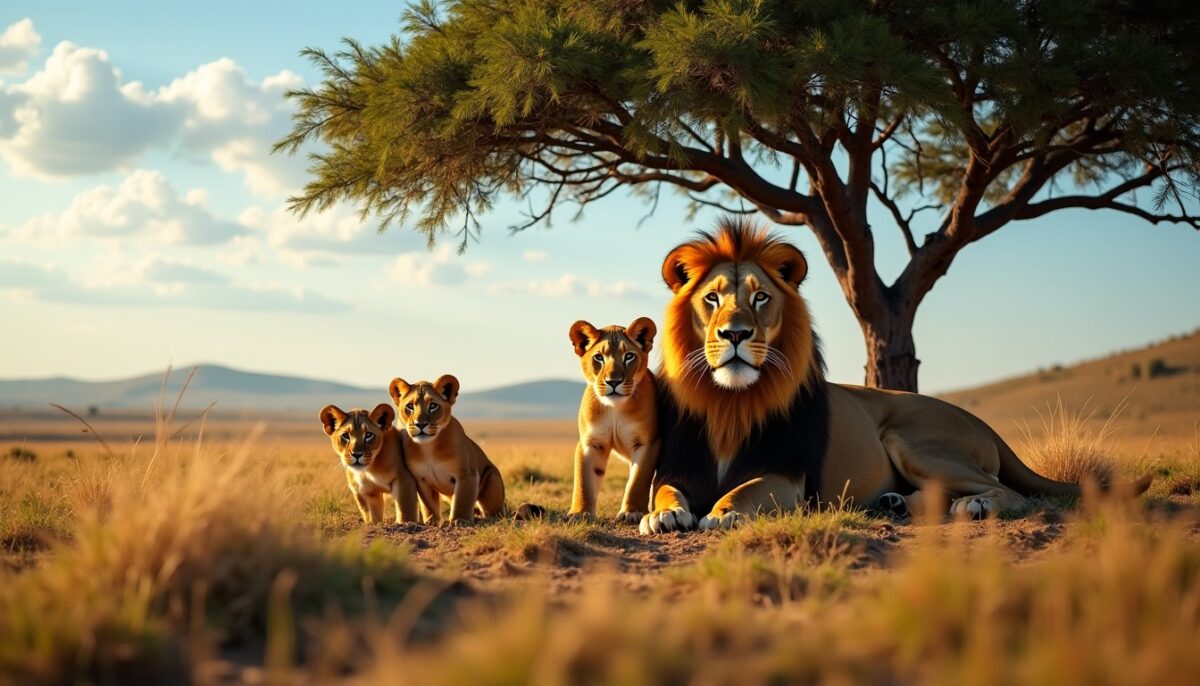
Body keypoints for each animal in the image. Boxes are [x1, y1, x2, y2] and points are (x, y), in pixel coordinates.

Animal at [389, 374, 505, 526]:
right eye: (410, 406)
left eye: (433, 406)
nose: (420, 424)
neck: (428, 448)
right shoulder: (421, 480)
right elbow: (428, 505)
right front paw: (432, 522)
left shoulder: (467, 474)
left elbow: (462, 501)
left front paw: (459, 520)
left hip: (492, 479)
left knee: (496, 512)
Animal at [567, 317, 660, 523]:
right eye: (598, 357)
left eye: (629, 356)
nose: (613, 381)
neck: (614, 409)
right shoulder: (591, 443)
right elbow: (583, 480)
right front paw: (580, 513)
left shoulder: (648, 443)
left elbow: (637, 481)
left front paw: (632, 512)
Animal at [639, 217, 1152, 534]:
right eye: (711, 298)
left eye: (760, 297)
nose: (735, 333)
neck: (730, 401)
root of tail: (981, 422)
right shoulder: (679, 466)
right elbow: (662, 492)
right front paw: (663, 517)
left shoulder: (788, 477)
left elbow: (745, 490)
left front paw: (721, 514)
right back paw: (897, 504)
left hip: (910, 439)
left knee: (1011, 492)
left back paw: (975, 506)